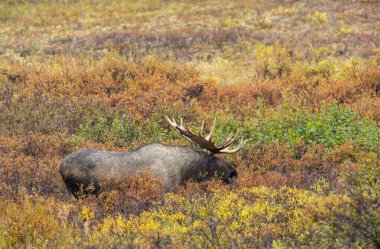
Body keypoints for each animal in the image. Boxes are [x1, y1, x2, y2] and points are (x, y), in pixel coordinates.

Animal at [58, 115, 245, 196]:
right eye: (214, 158)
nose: (233, 172)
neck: (186, 172)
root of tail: (61, 167)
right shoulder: (167, 189)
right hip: (81, 192)